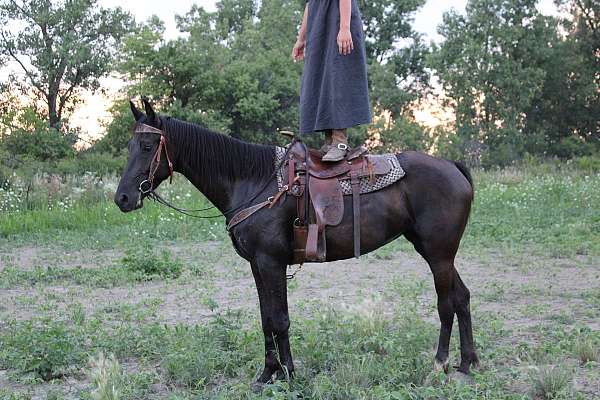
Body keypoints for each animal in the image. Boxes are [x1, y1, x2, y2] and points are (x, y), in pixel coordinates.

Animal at [116, 101, 478, 390]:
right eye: (130, 144)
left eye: (147, 145)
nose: (122, 198)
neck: (253, 182)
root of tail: (454, 167)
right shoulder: (257, 265)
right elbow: (266, 318)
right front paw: (267, 374)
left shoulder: (271, 262)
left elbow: (280, 319)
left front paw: (288, 374)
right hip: (436, 252)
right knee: (461, 297)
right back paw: (468, 363)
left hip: (438, 254)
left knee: (446, 304)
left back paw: (440, 364)